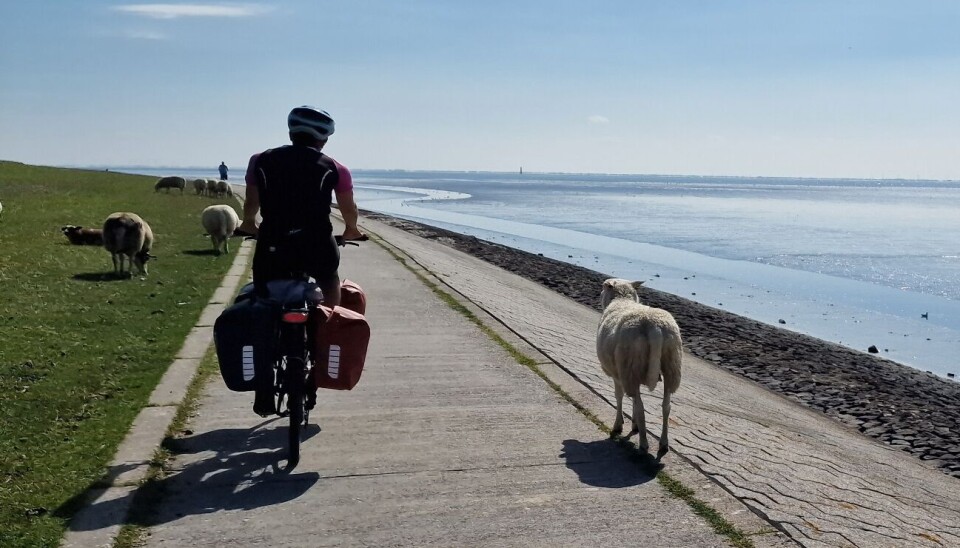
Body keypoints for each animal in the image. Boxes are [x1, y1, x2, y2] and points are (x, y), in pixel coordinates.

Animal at [592, 276, 684, 460]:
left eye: (603, 288)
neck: (622, 299)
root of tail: (654, 327)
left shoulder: (618, 373)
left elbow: (619, 397)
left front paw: (619, 425)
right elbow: (633, 401)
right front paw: (634, 425)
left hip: (630, 366)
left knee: (641, 408)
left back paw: (643, 444)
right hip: (671, 365)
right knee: (666, 407)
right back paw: (663, 443)